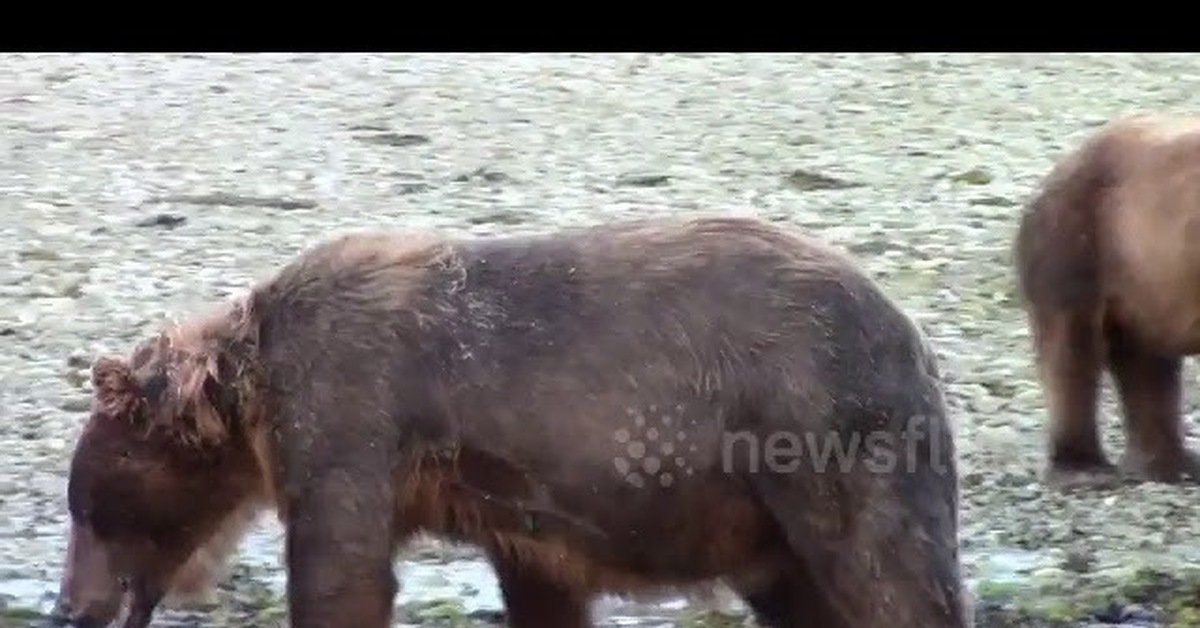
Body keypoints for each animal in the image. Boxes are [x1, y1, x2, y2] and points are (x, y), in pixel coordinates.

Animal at [56, 216, 969, 628]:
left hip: (820, 428)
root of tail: (913, 330)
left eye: (90, 509)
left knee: (889, 574)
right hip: (767, 518)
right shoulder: (518, 509)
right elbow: (542, 592)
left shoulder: (348, 414)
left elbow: (341, 573)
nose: (70, 607)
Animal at [1012, 114, 1200, 492]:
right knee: (1071, 353)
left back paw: (1173, 464)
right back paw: (1084, 469)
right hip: (1078, 241)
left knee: (1146, 365)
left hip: (1144, 278)